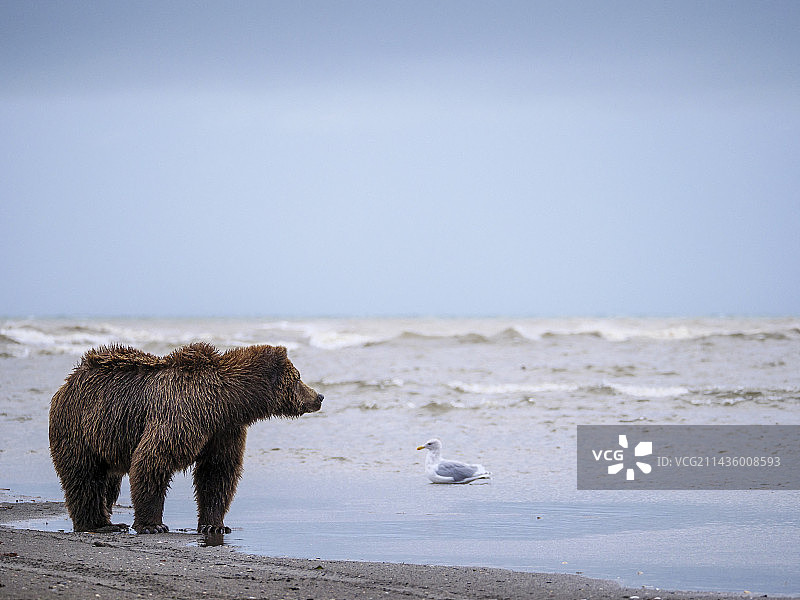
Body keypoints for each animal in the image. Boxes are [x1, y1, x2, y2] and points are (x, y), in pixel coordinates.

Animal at [49, 342, 323, 534]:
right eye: (298, 377)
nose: (319, 396)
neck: (225, 402)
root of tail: (67, 382)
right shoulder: (181, 413)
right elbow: (153, 459)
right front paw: (153, 525)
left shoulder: (224, 430)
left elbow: (217, 472)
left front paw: (214, 525)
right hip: (79, 426)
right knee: (85, 476)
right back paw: (98, 524)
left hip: (106, 437)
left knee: (108, 482)